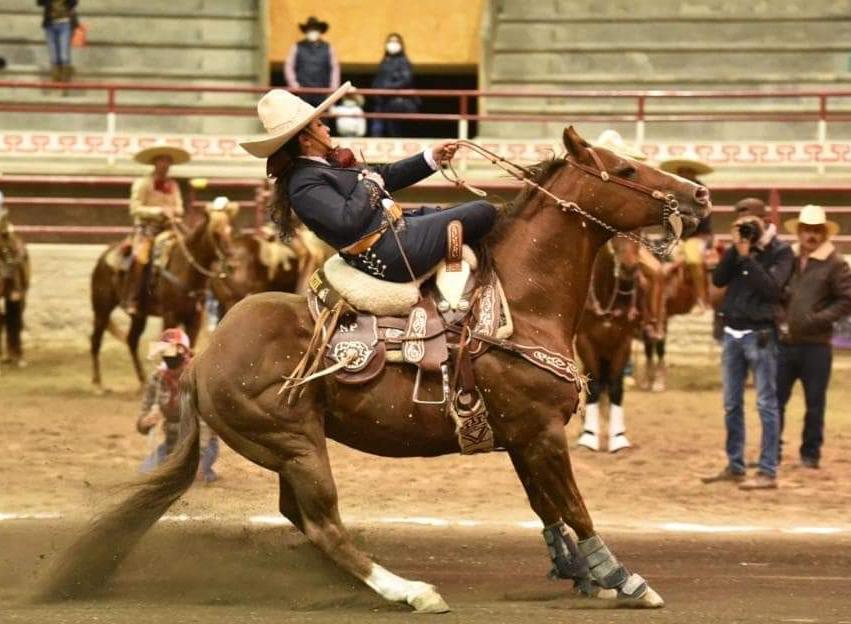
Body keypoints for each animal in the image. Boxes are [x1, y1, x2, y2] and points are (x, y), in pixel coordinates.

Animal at [90, 207, 235, 390]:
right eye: (215, 233)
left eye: (230, 231)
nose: (232, 265)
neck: (184, 268)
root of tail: (104, 257)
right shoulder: (170, 316)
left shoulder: (194, 318)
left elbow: (191, 349)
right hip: (102, 309)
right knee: (96, 340)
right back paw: (98, 384)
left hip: (139, 316)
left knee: (131, 341)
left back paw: (142, 381)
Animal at [576, 240, 656, 454]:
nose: (629, 267)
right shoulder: (585, 341)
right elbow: (594, 386)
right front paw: (589, 436)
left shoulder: (623, 342)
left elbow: (616, 387)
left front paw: (619, 438)